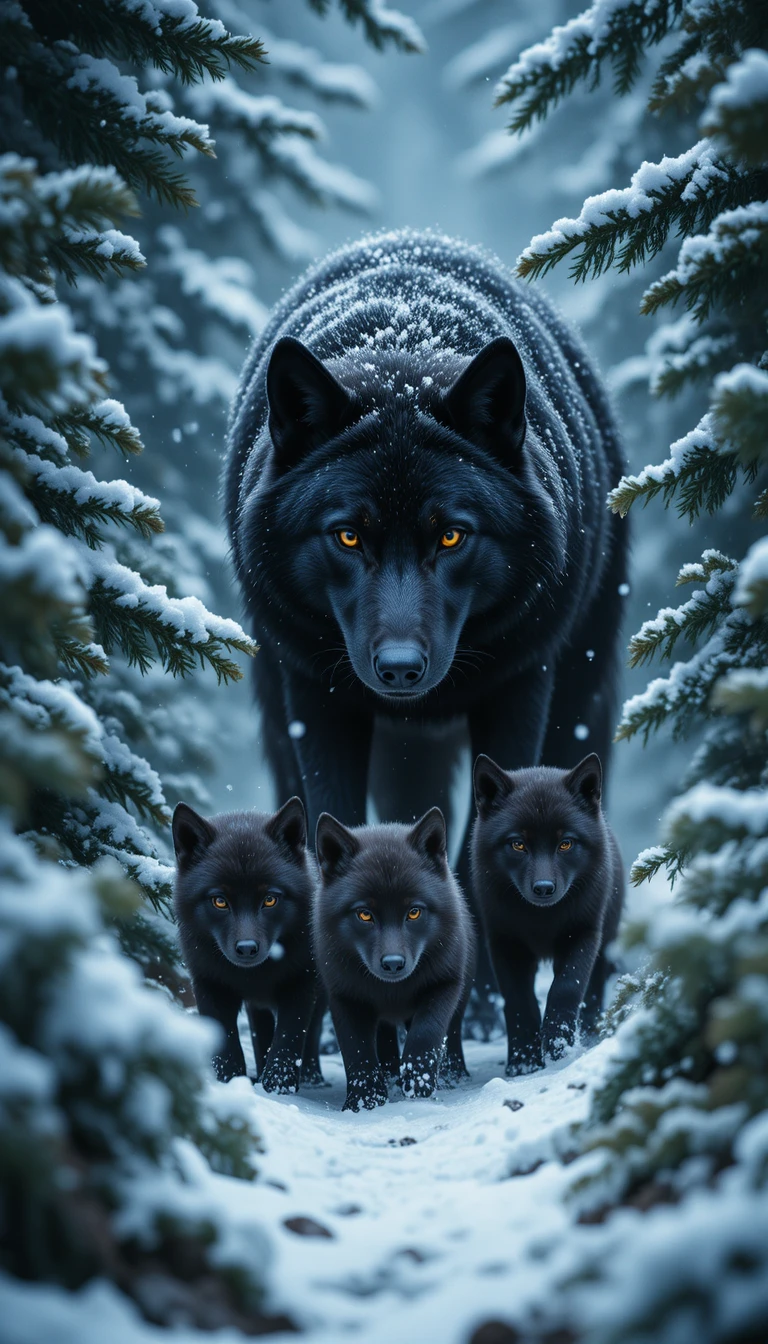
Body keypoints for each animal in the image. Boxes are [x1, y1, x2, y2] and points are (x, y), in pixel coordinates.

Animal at [172, 797, 324, 1090]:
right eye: (220, 901)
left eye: (269, 899)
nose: (246, 948)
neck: (256, 975)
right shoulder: (210, 984)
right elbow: (227, 1043)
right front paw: (230, 1081)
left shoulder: (301, 984)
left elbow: (288, 1038)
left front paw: (279, 1088)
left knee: (313, 1033)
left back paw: (312, 1078)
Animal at [225, 230, 627, 1015]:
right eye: (348, 536)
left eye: (451, 535)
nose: (401, 670)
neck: (402, 347)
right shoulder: (316, 699)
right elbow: (336, 836)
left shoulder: (517, 691)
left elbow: (476, 858)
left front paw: (477, 1005)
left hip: (578, 706)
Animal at [313, 808, 475, 1111]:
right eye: (364, 914)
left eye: (414, 912)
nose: (393, 963)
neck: (392, 991)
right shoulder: (345, 997)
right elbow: (357, 1052)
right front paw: (363, 1102)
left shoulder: (444, 985)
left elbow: (426, 1034)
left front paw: (418, 1084)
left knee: (452, 1037)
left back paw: (452, 1077)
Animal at [471, 752, 624, 1073]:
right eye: (518, 844)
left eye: (565, 843)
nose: (543, 888)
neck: (540, 920)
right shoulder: (505, 944)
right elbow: (518, 1000)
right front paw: (523, 1061)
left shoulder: (583, 934)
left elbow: (566, 988)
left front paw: (557, 1046)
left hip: (605, 944)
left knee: (593, 994)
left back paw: (589, 1037)